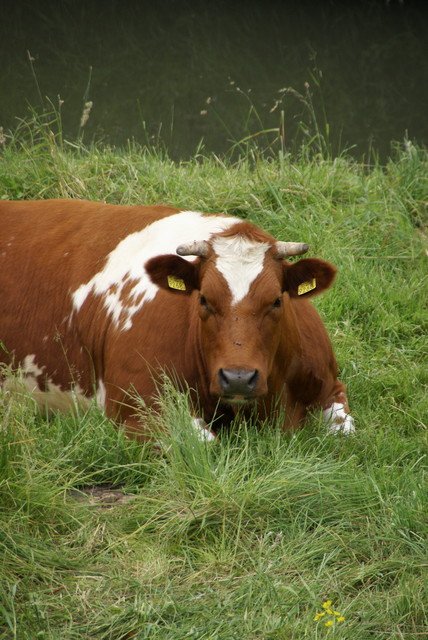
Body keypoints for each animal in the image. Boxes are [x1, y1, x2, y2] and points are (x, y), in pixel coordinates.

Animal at [0, 200, 354, 440]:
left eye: (277, 301)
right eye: (204, 299)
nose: (238, 378)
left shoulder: (331, 389)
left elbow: (344, 434)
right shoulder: (135, 412)